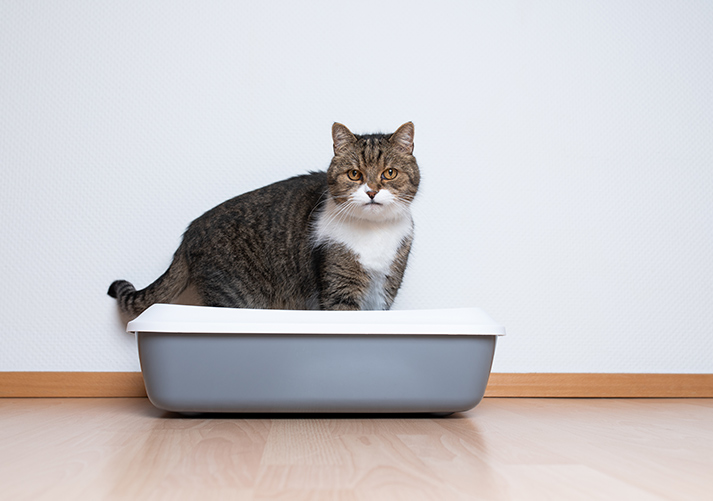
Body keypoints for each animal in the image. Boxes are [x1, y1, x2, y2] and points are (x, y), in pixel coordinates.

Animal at [105, 121, 418, 316]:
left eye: (389, 173)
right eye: (355, 174)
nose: (372, 192)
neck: (373, 234)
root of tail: (190, 232)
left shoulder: (385, 290)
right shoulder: (339, 289)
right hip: (236, 295)